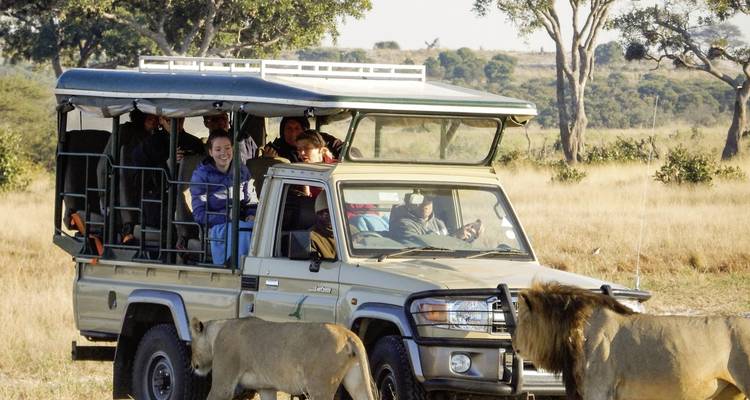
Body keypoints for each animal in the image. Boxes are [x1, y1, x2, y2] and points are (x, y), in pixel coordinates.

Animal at [189, 317, 378, 400]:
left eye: (191, 343)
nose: (193, 365)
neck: (217, 333)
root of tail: (347, 334)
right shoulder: (266, 388)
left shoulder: (223, 386)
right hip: (357, 382)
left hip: (320, 387)